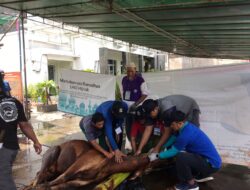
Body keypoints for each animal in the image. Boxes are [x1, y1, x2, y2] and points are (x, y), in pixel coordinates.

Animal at [23, 140, 152, 190]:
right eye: (142, 155)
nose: (148, 157)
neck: (107, 166)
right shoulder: (77, 164)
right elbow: (61, 179)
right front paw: (37, 187)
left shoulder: (81, 181)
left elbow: (58, 186)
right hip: (53, 152)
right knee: (40, 174)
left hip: (52, 170)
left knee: (39, 174)